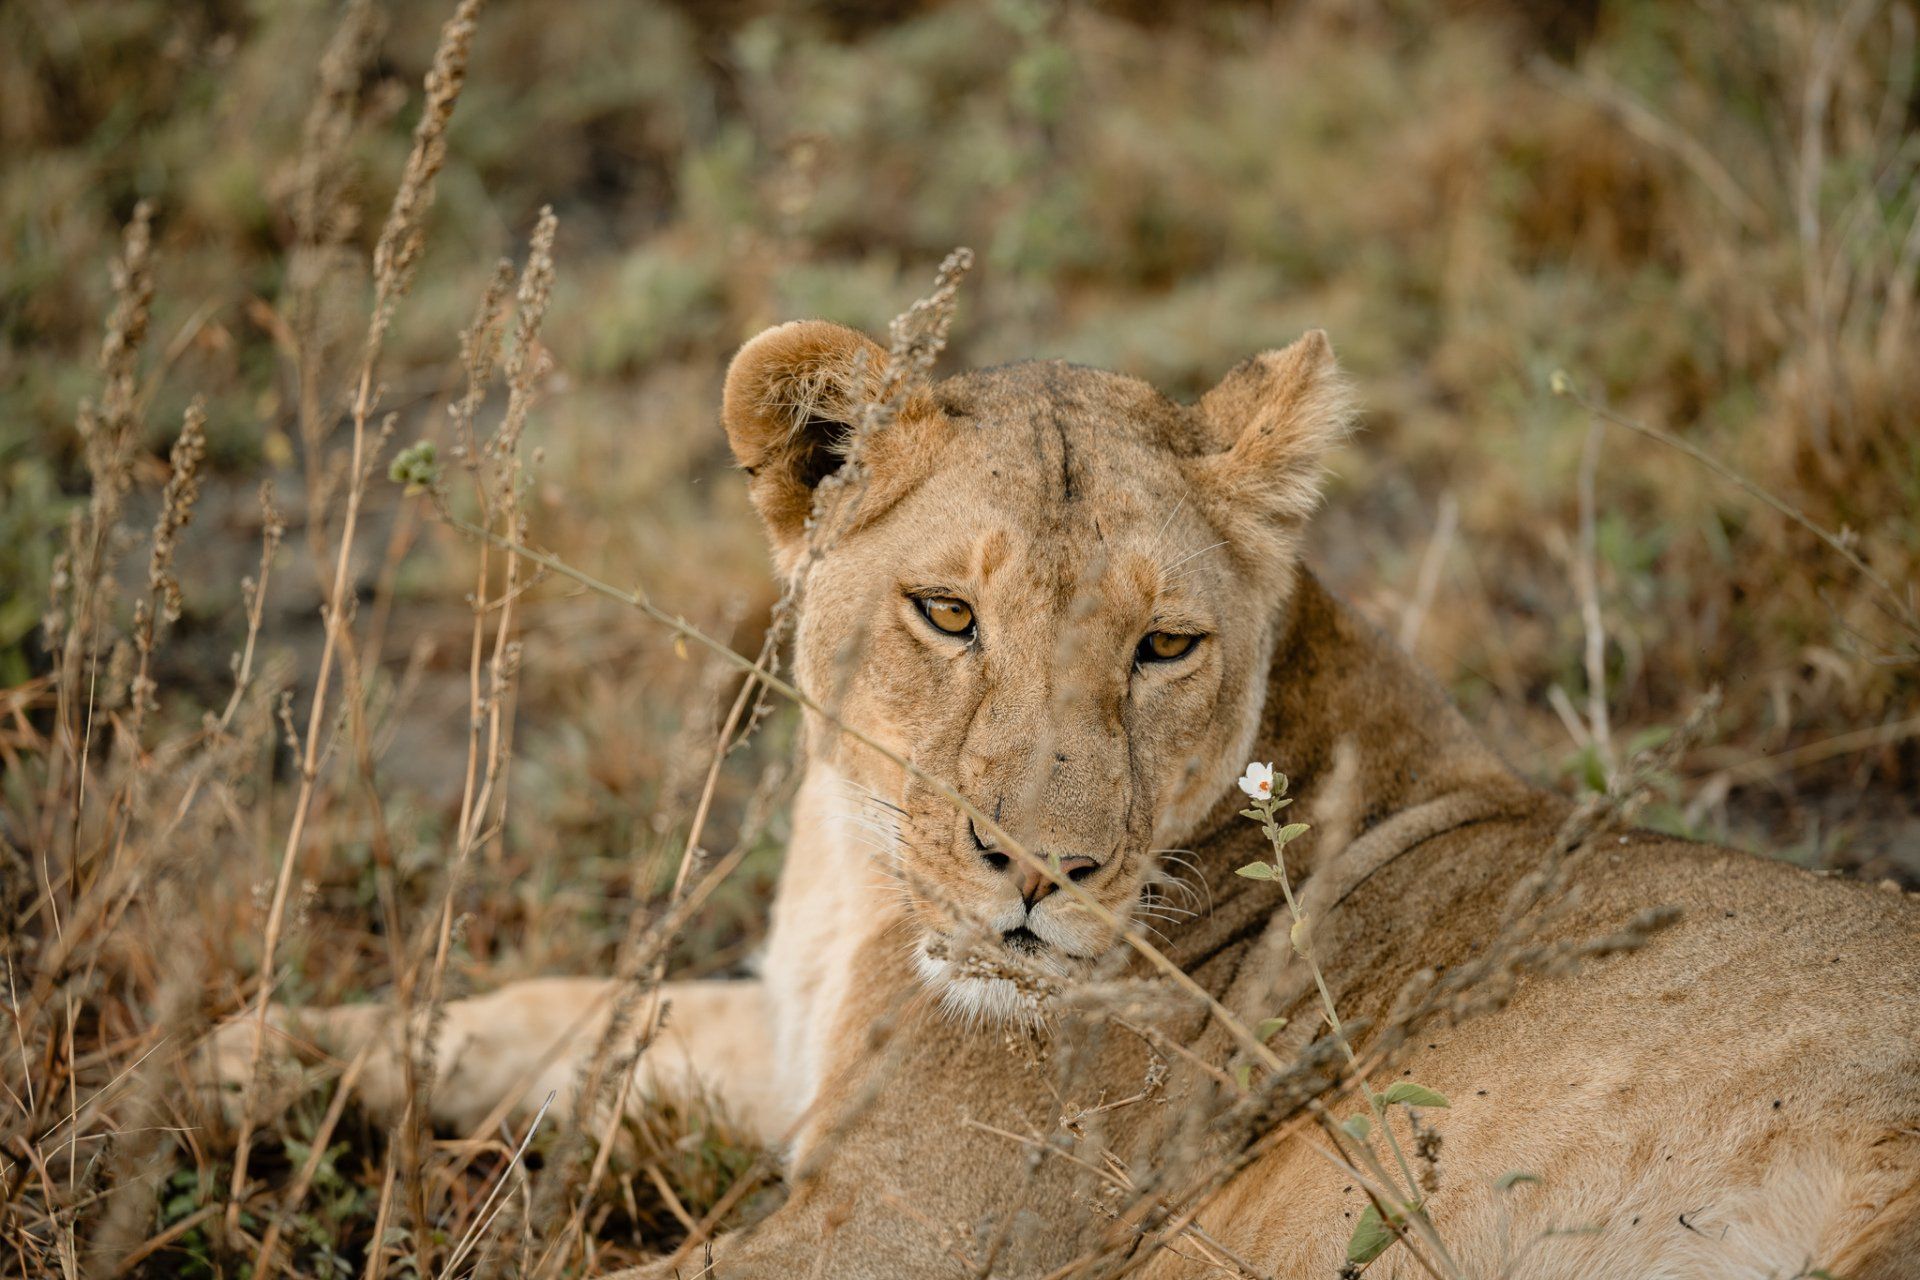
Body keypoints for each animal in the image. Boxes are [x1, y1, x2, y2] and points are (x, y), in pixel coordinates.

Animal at [211, 322, 1920, 1278]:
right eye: (947, 616)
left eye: (1164, 647)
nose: (1040, 870)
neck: (860, 877)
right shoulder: (790, 1056)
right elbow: (535, 1015)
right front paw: (231, 1059)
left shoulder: (895, 1246)